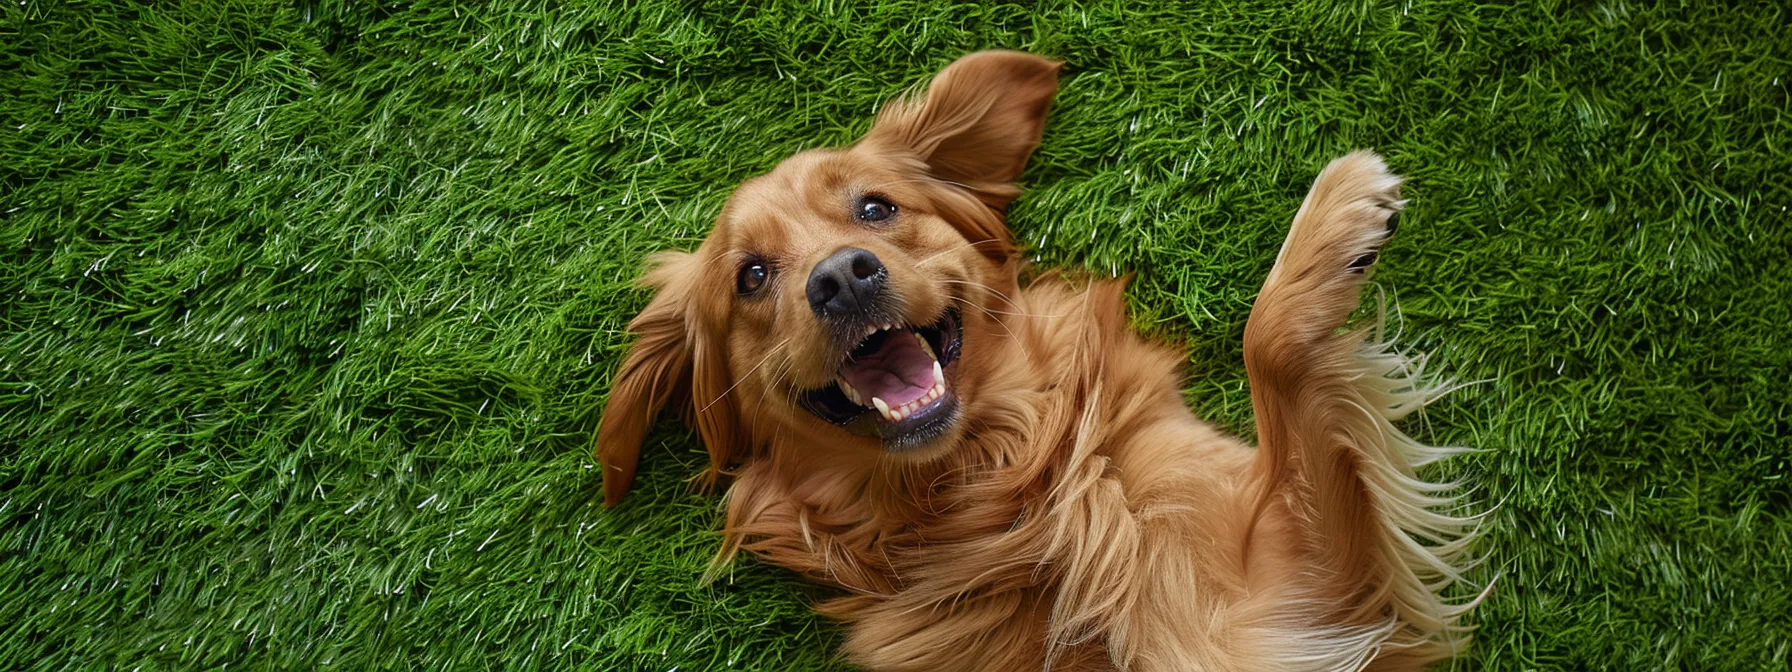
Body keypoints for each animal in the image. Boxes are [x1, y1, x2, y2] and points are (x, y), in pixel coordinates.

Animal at [594, 49, 1476, 670]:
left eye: (876, 207)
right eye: (750, 276)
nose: (841, 278)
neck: (1004, 492)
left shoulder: (1304, 597)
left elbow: (1266, 342)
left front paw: (1334, 209)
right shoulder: (1281, 621)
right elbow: (1270, 347)